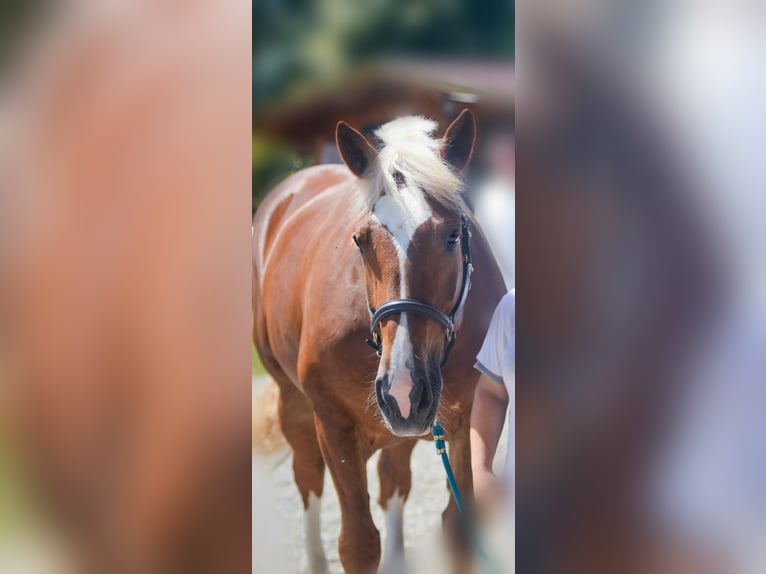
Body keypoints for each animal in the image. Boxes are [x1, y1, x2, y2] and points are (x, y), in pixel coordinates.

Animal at [250, 110, 510, 572]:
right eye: (360, 240)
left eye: (452, 236)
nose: (404, 390)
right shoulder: (333, 423)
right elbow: (357, 542)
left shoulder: (462, 423)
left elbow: (458, 528)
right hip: (294, 402)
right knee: (308, 477)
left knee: (393, 481)